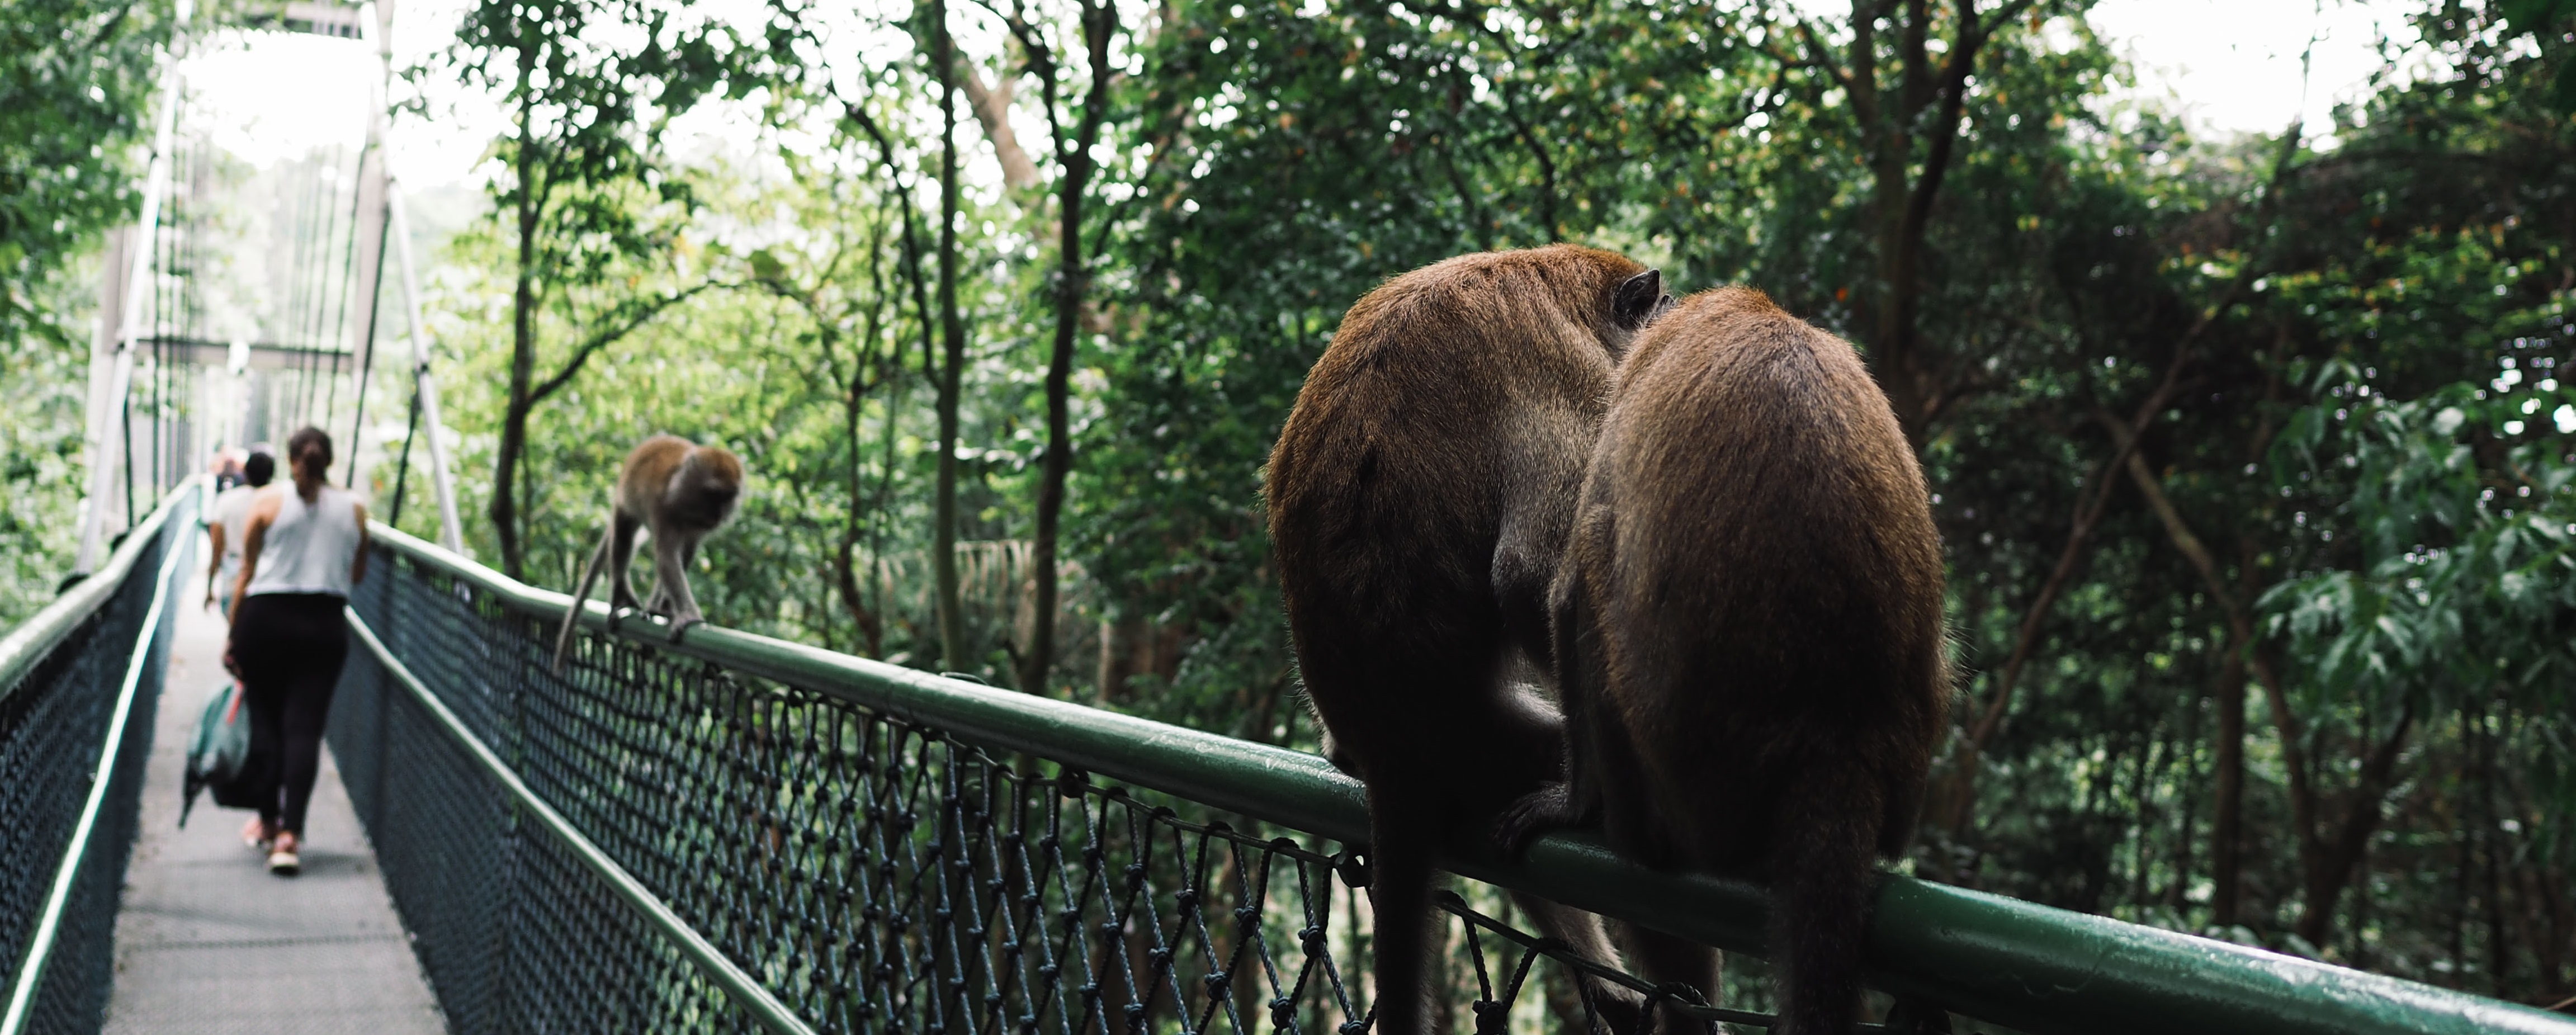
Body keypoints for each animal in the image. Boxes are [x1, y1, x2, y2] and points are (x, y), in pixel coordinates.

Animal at [546, 427, 741, 669]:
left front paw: (666, 608)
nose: (719, 516)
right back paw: (620, 594)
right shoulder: (663, 510)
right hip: (624, 501)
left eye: (729, 498)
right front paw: (689, 615)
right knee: (623, 538)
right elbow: (667, 559)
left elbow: (684, 556)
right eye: (713, 495)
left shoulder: (696, 529)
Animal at [1494, 287, 1947, 1034]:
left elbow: (1568, 585)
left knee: (1593, 551)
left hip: (1680, 793)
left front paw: (1570, 803)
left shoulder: (1626, 395)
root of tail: (1835, 742)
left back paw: (1602, 821)